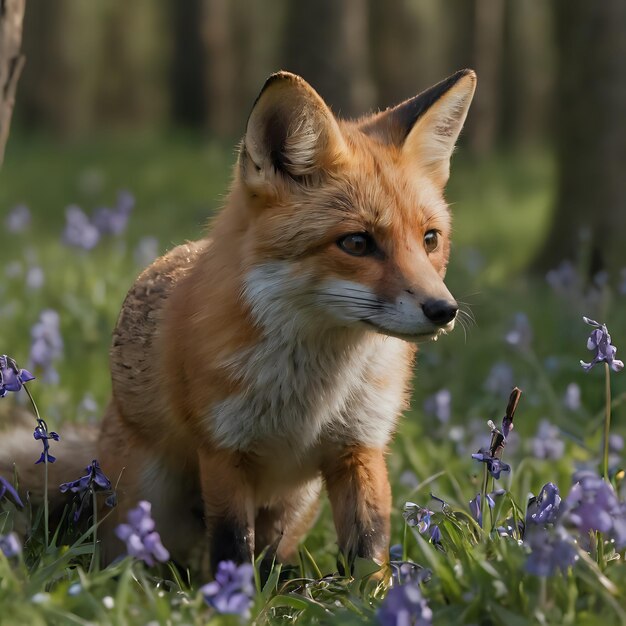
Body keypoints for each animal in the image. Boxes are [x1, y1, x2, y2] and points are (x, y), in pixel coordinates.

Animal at [1, 68, 472, 572]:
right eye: (357, 243)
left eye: (430, 239)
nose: (443, 310)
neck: (313, 391)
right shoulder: (224, 450)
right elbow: (231, 545)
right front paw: (234, 593)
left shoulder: (360, 448)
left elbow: (369, 552)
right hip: (149, 501)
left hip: (294, 506)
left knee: (272, 556)